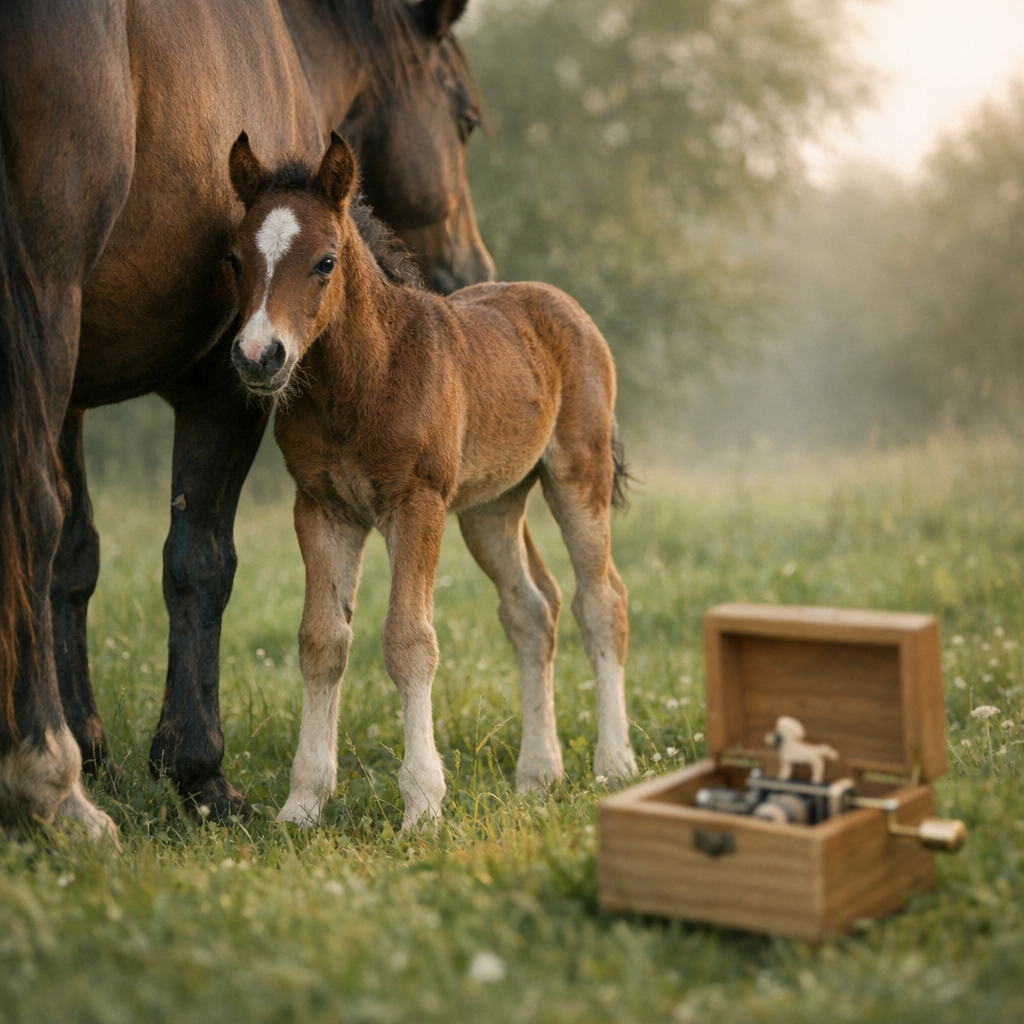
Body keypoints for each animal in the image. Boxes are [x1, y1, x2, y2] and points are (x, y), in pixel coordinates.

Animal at [0, 0, 492, 840]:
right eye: (463, 121)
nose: (474, 273)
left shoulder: (72, 395)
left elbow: (76, 559)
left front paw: (97, 748)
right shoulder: (223, 383)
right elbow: (199, 560)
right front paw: (199, 772)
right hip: (37, 301)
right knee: (29, 510)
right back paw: (50, 783)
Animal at [226, 132, 638, 829]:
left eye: (325, 262)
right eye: (234, 259)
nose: (259, 356)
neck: (362, 381)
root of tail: (559, 302)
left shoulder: (416, 502)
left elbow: (409, 641)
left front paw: (422, 804)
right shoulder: (322, 508)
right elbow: (321, 641)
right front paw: (302, 805)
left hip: (577, 474)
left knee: (599, 599)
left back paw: (614, 763)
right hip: (490, 507)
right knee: (532, 610)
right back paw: (537, 774)